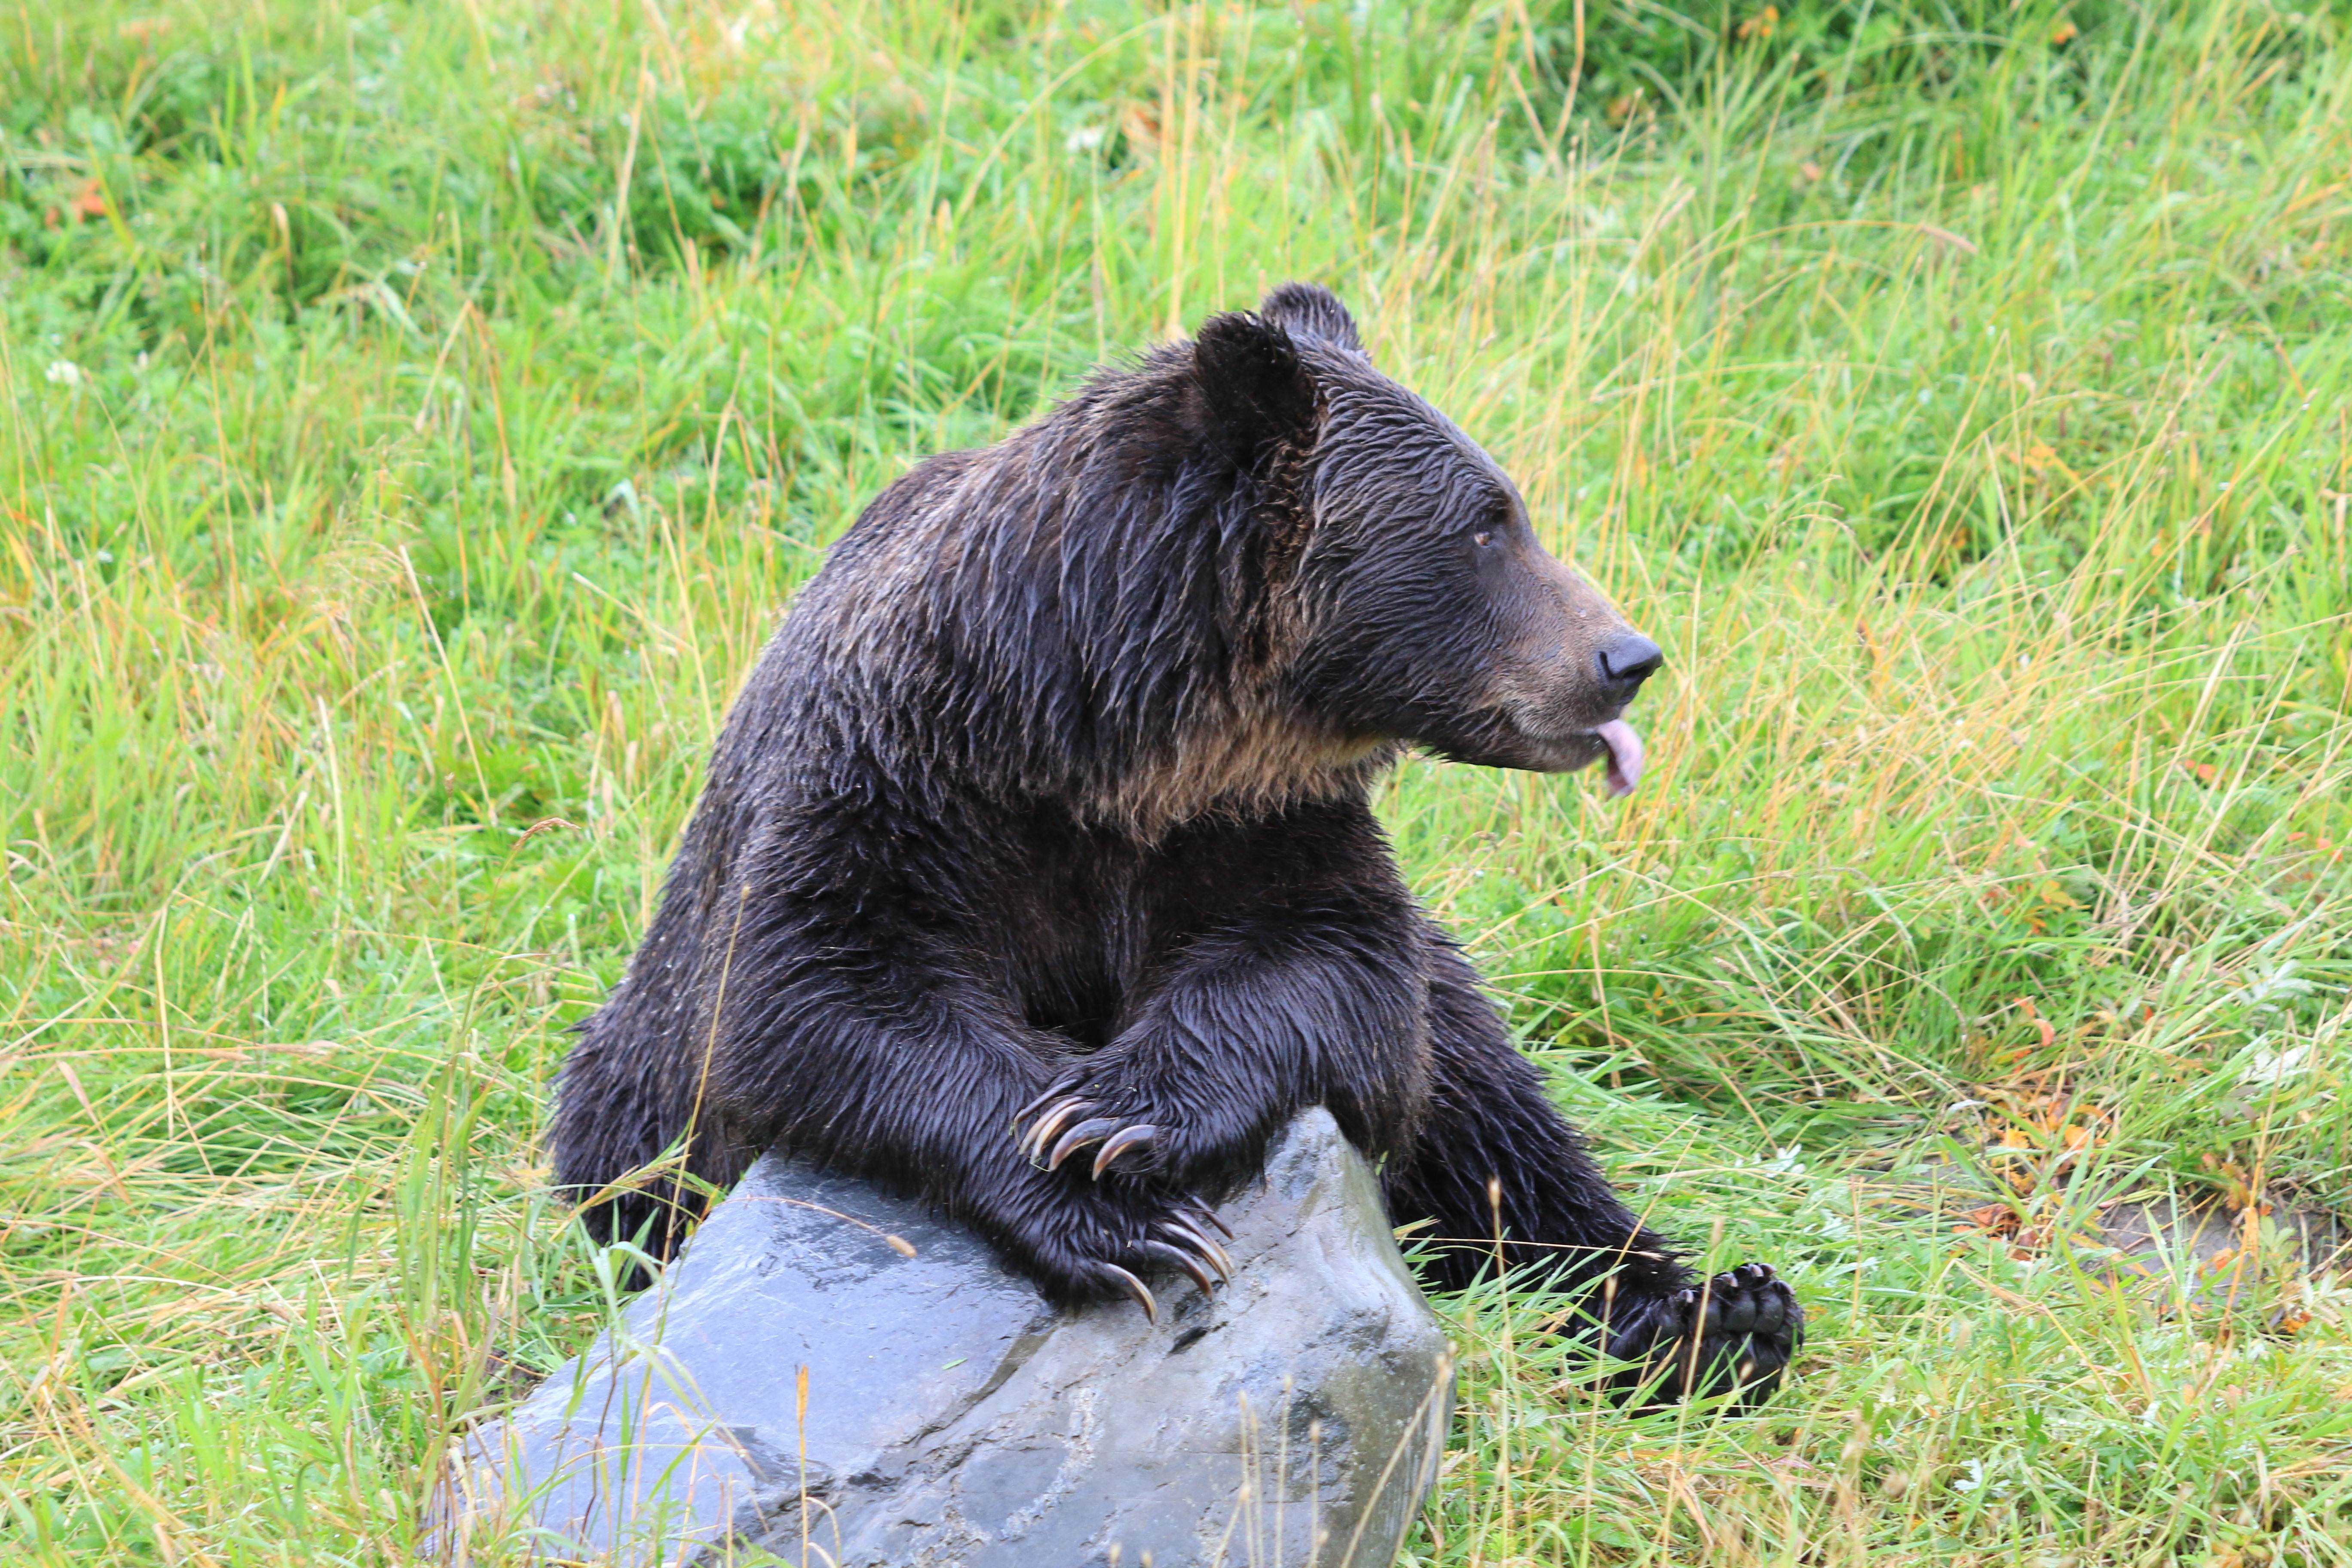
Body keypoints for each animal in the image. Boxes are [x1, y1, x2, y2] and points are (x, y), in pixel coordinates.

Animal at [553, 283, 1801, 1404]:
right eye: (1487, 525)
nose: (1626, 656)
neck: (1108, 742)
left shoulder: (1256, 828)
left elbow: (1334, 975)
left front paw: (1122, 1114)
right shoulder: (897, 787)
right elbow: (814, 995)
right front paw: (1121, 1215)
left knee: (1496, 1123)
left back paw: (1714, 1314)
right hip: (616, 1114)